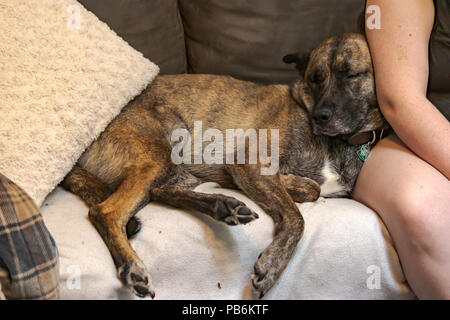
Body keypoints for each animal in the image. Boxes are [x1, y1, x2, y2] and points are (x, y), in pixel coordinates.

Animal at [63, 33, 390, 298]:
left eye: (351, 75)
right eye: (316, 78)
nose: (321, 117)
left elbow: (310, 190)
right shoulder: (250, 162)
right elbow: (300, 210)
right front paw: (272, 267)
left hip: (174, 164)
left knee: (160, 192)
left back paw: (223, 205)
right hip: (163, 148)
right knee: (106, 211)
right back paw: (132, 266)